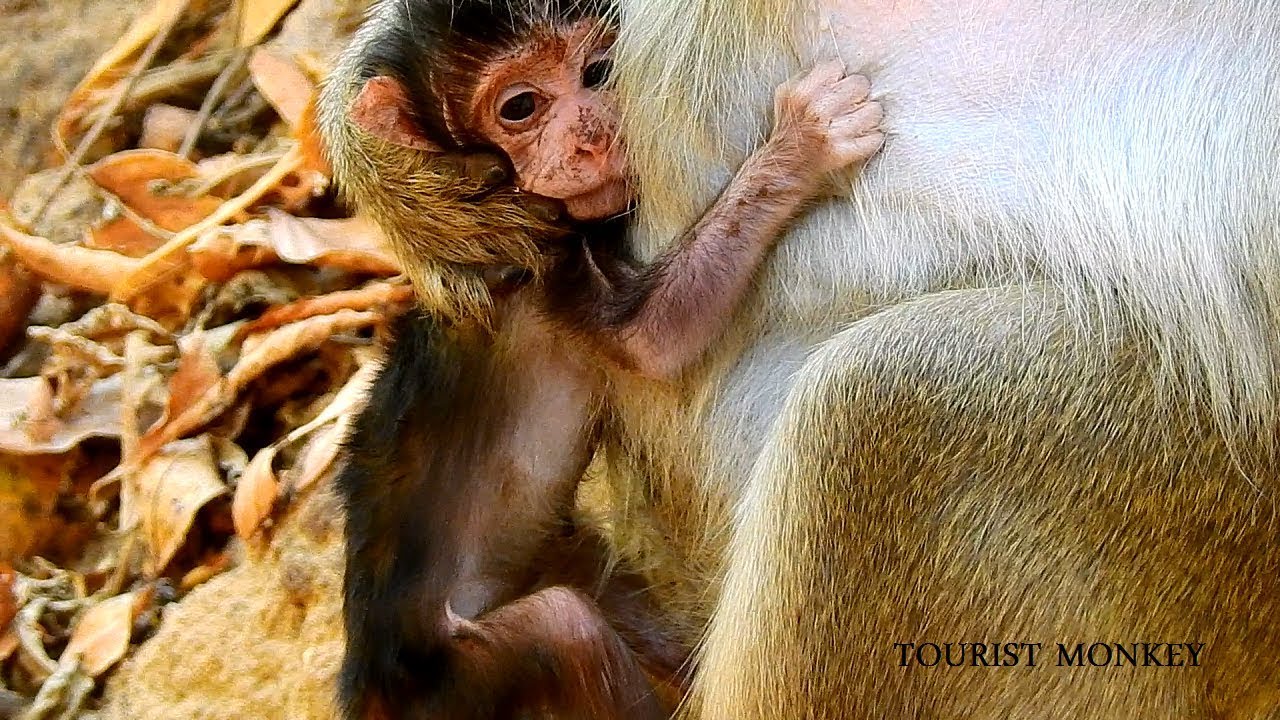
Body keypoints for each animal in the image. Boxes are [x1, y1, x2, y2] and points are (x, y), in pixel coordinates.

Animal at [319, 0, 887, 717]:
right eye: (519, 107)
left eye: (597, 71)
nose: (590, 138)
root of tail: (368, 683)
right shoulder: (535, 255)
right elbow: (651, 340)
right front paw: (800, 145)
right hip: (450, 687)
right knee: (564, 628)